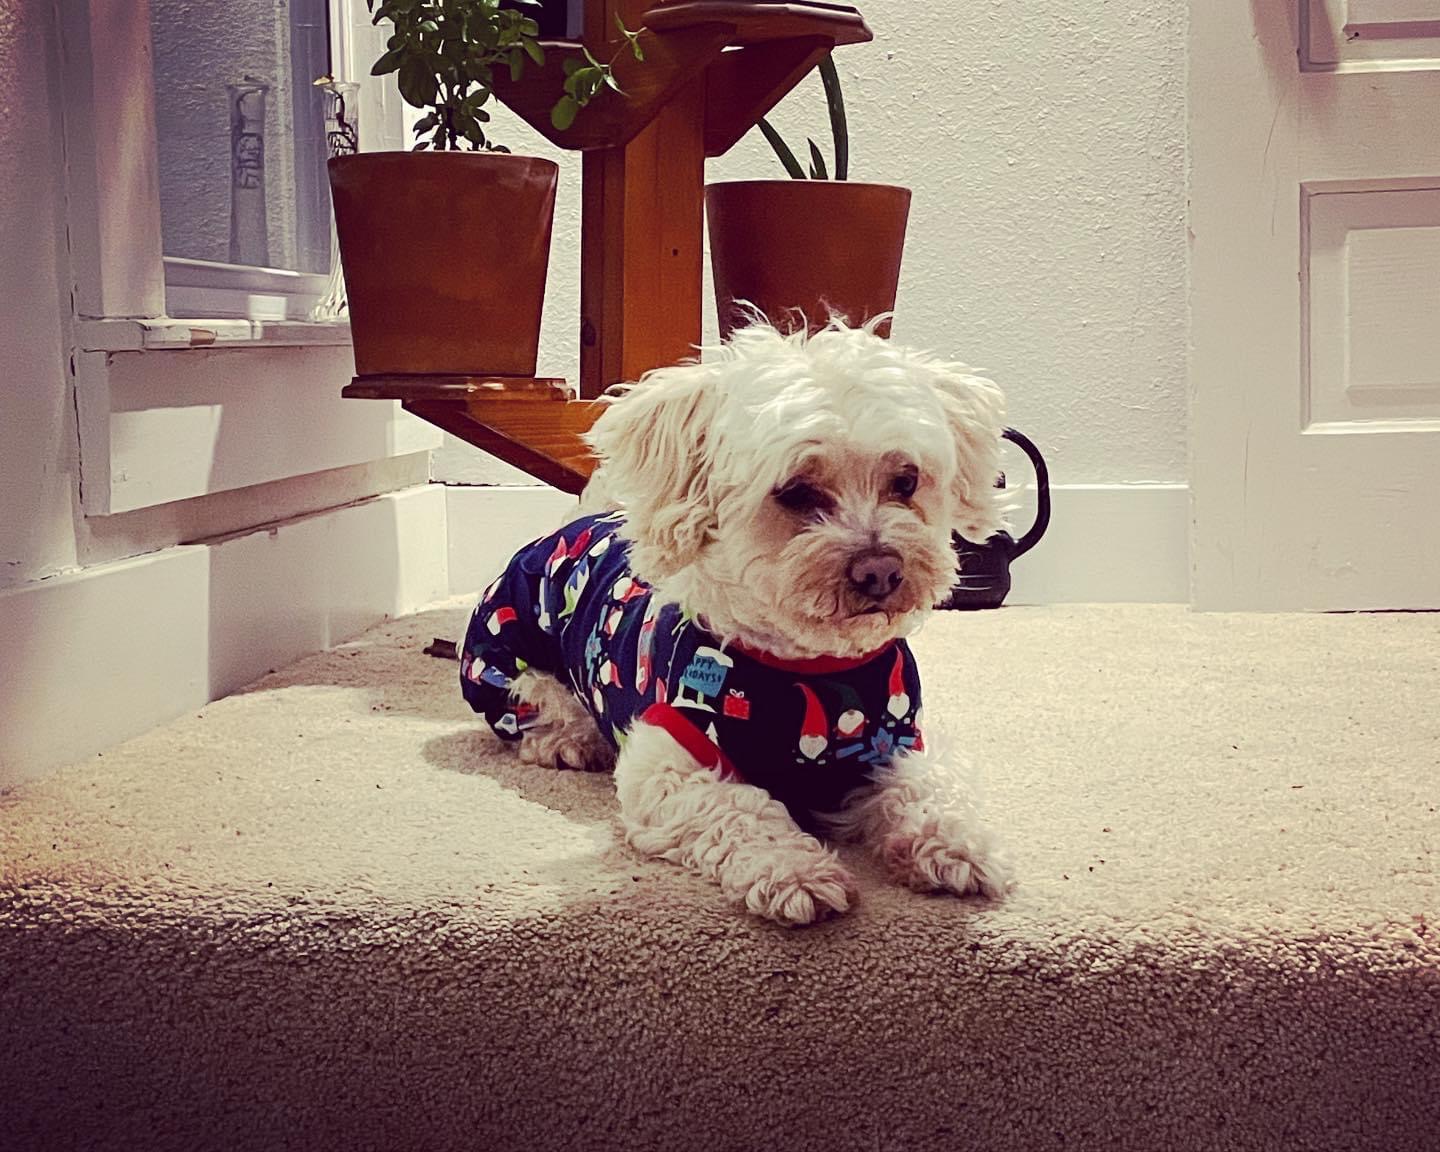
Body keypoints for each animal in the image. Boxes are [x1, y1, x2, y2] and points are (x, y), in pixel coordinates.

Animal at [460, 316, 1013, 927]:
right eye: (795, 491)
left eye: (907, 480)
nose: (881, 572)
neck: (812, 675)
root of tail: (586, 520)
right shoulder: (670, 765)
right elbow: (742, 810)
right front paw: (792, 868)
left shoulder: (892, 743)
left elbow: (929, 790)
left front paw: (954, 843)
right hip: (504, 661)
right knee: (543, 705)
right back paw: (568, 741)